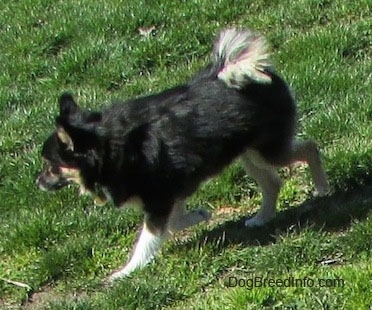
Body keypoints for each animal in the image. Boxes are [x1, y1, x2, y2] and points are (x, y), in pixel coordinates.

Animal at [35, 28, 328, 280]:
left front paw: (127, 272)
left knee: (310, 147)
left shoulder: (159, 200)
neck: (108, 145)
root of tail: (247, 70)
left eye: (49, 165)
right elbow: (174, 223)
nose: (37, 182)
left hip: (268, 151)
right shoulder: (173, 192)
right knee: (273, 183)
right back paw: (262, 218)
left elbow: (148, 239)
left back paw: (322, 188)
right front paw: (199, 215)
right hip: (248, 154)